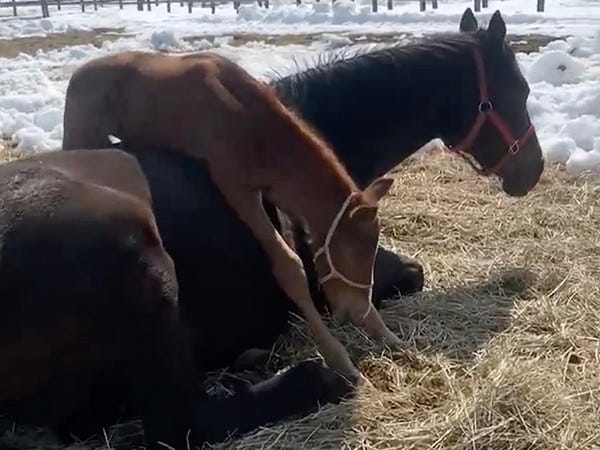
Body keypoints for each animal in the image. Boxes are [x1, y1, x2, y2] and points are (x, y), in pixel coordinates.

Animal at [63, 51, 398, 378]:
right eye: (348, 252)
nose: (357, 310)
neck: (252, 124)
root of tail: (78, 74)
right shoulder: (233, 183)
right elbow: (289, 266)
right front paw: (340, 360)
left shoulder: (277, 192)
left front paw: (385, 333)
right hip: (80, 132)